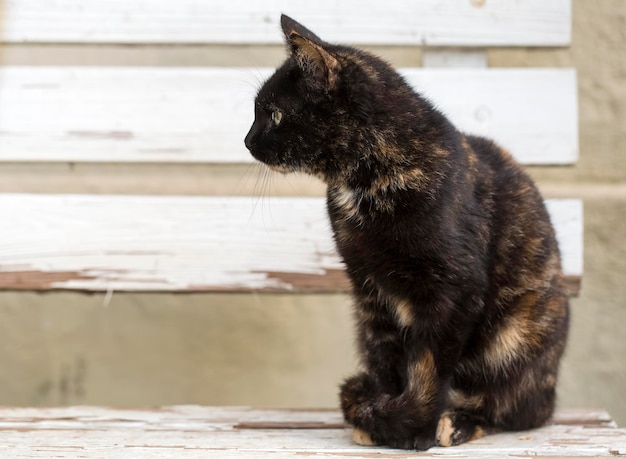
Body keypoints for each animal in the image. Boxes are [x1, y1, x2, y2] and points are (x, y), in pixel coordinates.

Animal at [244, 14, 572, 452]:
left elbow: (428, 367)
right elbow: (387, 361)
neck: (365, 183)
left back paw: (459, 422)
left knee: (520, 408)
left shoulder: (453, 290)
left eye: (274, 114)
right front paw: (382, 419)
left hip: (516, 336)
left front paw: (416, 426)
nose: (247, 140)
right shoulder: (369, 291)